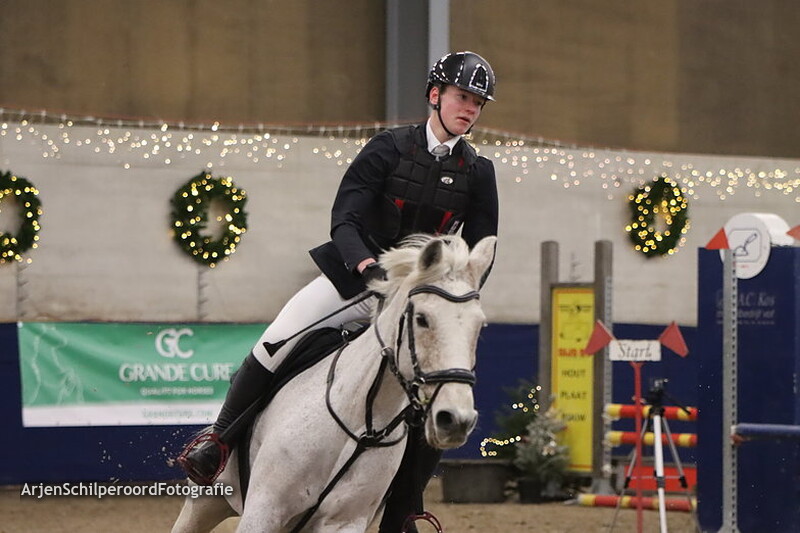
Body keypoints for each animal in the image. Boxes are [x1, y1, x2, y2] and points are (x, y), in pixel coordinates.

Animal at [171, 234, 497, 533]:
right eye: (422, 319)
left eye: (479, 326)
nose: (456, 420)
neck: (362, 424)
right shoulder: (263, 512)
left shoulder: (344, 522)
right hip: (207, 500)